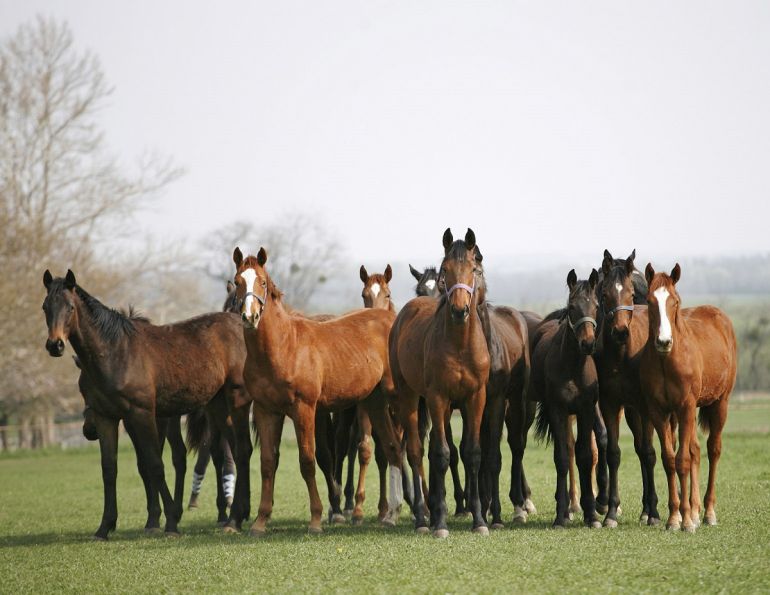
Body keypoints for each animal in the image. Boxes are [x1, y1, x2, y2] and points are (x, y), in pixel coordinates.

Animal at [42, 269, 249, 538]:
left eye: (69, 307)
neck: (116, 352)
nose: (54, 345)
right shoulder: (107, 417)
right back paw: (238, 516)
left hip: (235, 401)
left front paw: (170, 522)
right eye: (45, 307)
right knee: (235, 451)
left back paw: (233, 517)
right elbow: (109, 469)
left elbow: (154, 464)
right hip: (217, 406)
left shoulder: (141, 415)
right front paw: (105, 527)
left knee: (239, 451)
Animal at [232, 247, 405, 534]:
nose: (250, 317)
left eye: (263, 282)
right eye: (236, 282)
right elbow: (267, 463)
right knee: (392, 448)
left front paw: (315, 519)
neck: (284, 347)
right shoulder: (267, 411)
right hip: (375, 402)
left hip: (397, 400)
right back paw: (391, 514)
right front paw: (260, 521)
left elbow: (307, 461)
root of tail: (393, 319)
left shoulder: (304, 409)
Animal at [389, 228, 491, 538]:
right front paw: (441, 522)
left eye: (474, 269)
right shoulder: (437, 397)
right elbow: (443, 453)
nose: (459, 310)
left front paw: (479, 519)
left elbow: (472, 452)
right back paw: (424, 517)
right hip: (410, 397)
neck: (459, 345)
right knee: (415, 451)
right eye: (445, 269)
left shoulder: (475, 397)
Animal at [532, 269, 605, 528]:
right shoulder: (558, 410)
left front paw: (591, 513)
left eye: (596, 305)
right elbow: (562, 457)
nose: (588, 343)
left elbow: (585, 456)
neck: (573, 367)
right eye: (572, 306)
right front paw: (560, 515)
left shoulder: (586, 410)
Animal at [640, 264, 737, 531]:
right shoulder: (659, 411)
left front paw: (684, 521)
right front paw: (675, 517)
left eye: (675, 301)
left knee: (713, 450)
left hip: (720, 403)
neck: (668, 361)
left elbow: (682, 459)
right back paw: (694, 511)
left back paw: (707, 512)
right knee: (695, 450)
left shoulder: (685, 407)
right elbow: (670, 460)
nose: (663, 341)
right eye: (650, 301)